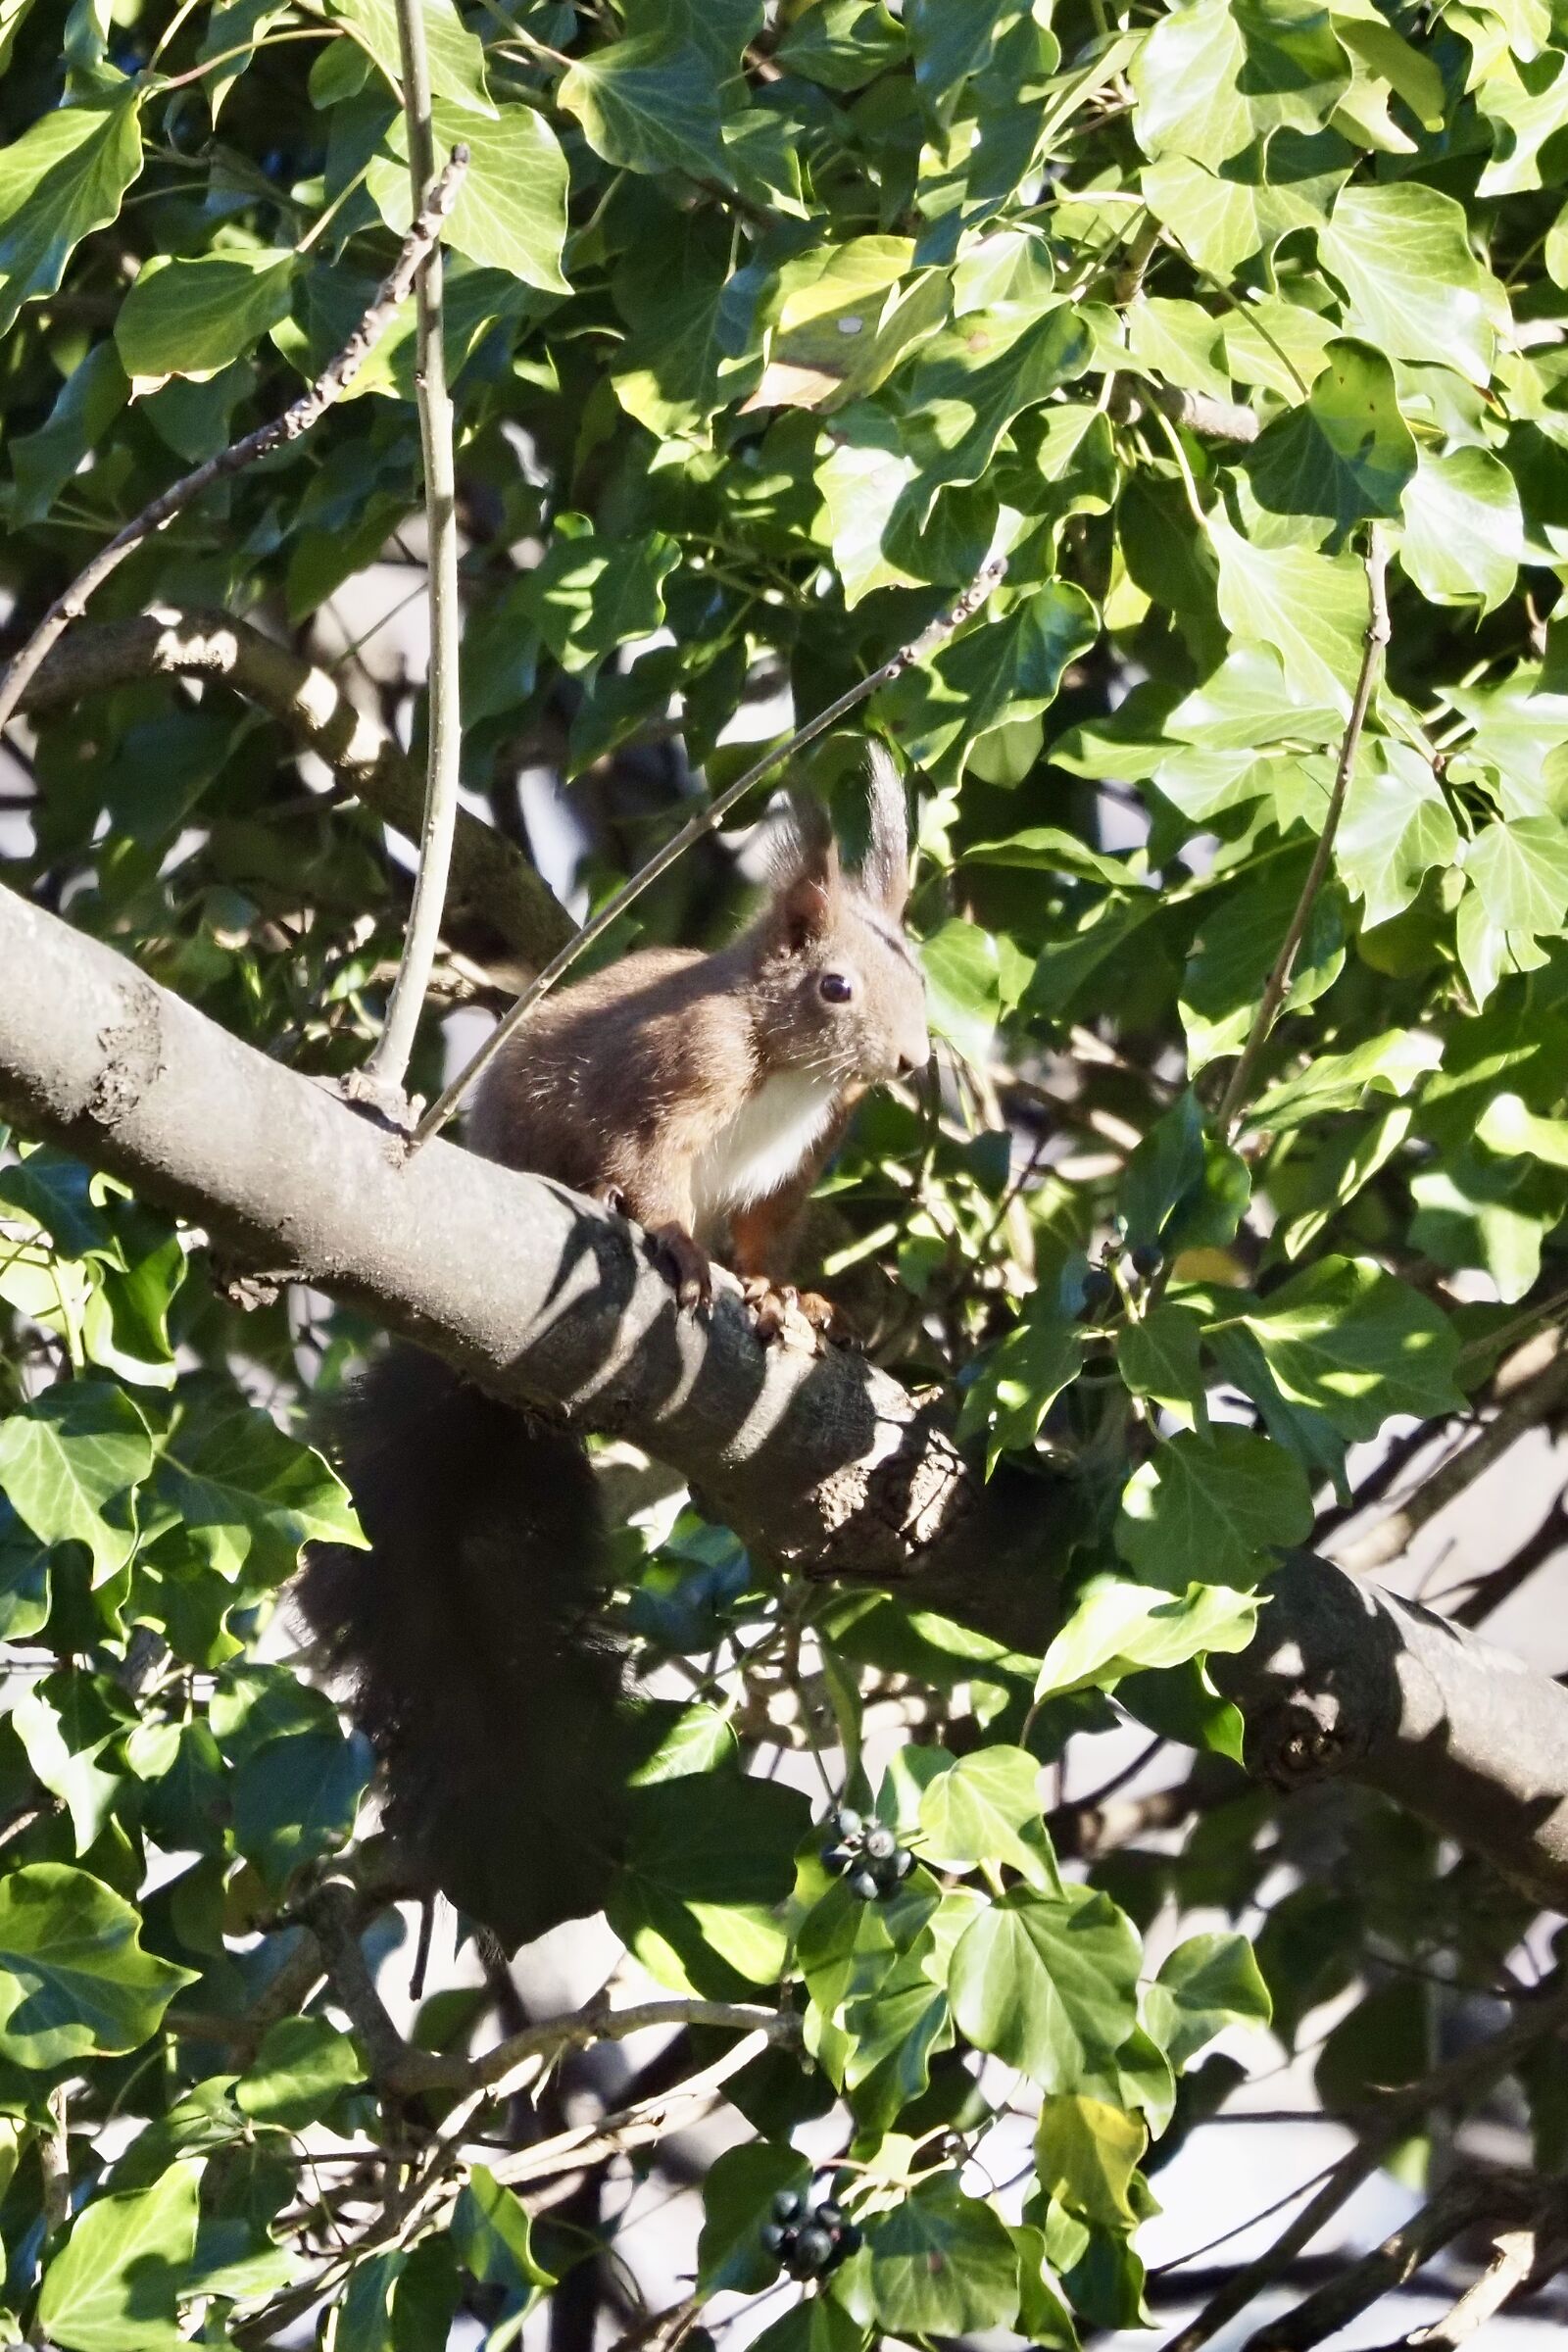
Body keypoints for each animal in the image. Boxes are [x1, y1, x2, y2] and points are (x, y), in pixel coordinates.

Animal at [298, 750, 930, 1949]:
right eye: (836, 986)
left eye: (919, 974)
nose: (916, 1060)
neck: (789, 1071)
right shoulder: (674, 1077)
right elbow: (649, 1169)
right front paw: (682, 1254)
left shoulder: (795, 1167)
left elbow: (767, 1234)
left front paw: (790, 1300)